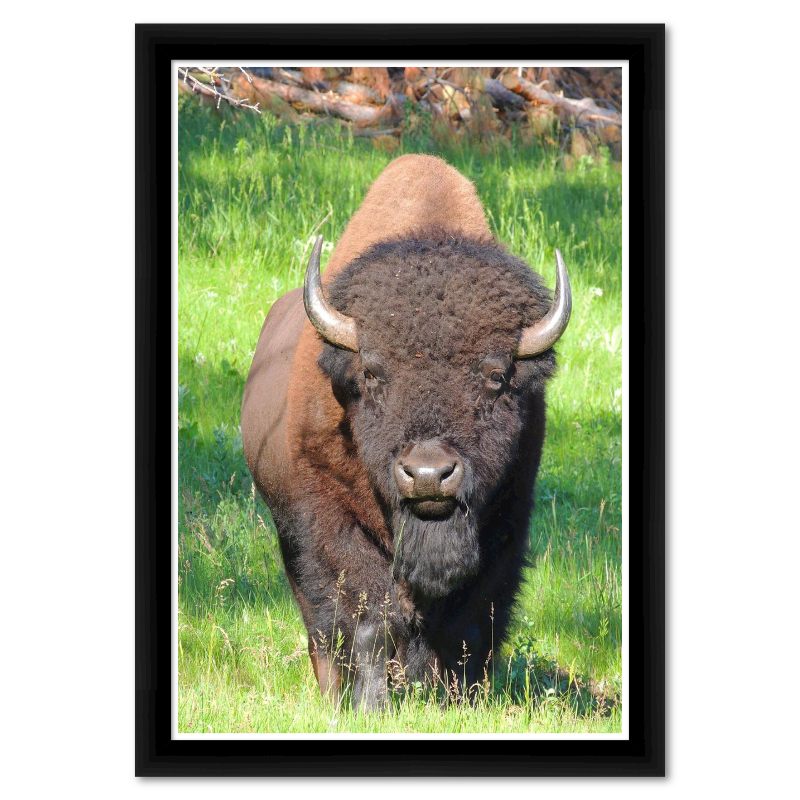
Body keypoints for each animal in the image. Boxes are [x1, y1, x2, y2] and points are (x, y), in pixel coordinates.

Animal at [242, 154, 571, 709]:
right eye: (373, 373)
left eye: (495, 376)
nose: (429, 475)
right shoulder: (336, 526)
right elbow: (370, 618)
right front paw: (370, 705)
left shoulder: (504, 523)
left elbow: (470, 625)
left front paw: (461, 703)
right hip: (288, 531)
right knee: (319, 626)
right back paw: (334, 694)